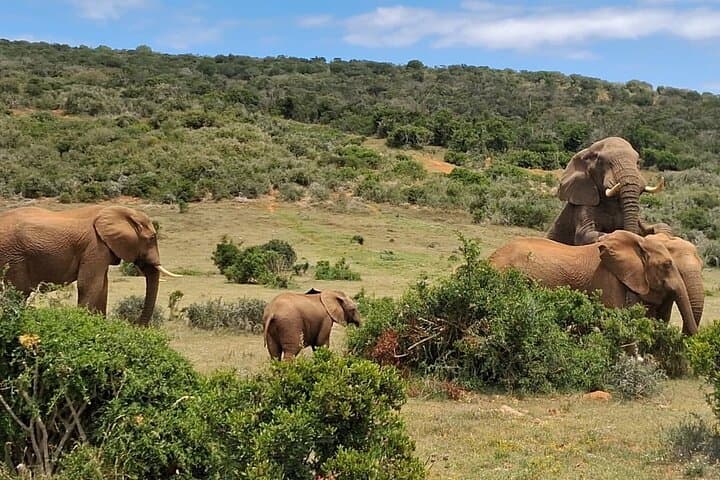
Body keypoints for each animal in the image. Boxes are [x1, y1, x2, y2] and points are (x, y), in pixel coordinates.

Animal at [0, 205, 179, 326]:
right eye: (152, 238)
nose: (134, 325)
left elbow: (102, 287)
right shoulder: (95, 246)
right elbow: (90, 285)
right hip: (14, 257)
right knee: (18, 292)